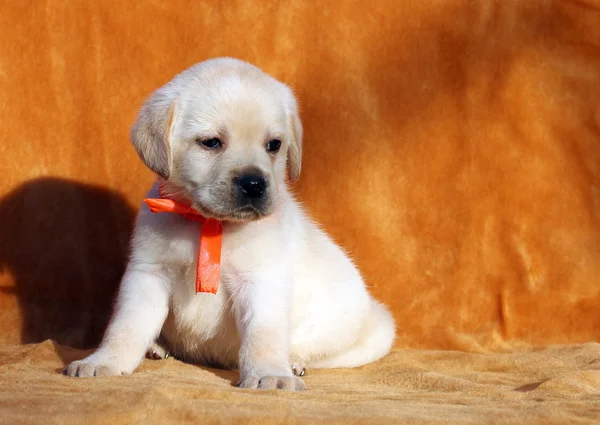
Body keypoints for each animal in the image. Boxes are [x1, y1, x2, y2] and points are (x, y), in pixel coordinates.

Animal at [64, 58, 394, 390]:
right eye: (211, 142)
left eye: (274, 145)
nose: (254, 183)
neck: (209, 223)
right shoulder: (149, 273)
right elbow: (125, 326)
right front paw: (104, 361)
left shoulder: (260, 281)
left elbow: (263, 336)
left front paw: (270, 374)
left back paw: (294, 362)